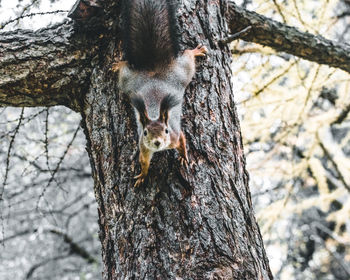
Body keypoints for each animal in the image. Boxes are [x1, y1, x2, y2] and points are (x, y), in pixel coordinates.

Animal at [113, 0, 208, 188]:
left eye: (166, 130)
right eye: (145, 133)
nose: (157, 142)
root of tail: (153, 69)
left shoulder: (175, 135)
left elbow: (183, 142)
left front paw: (184, 157)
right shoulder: (143, 147)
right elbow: (144, 162)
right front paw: (142, 175)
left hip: (182, 72)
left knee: (188, 57)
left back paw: (195, 51)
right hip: (127, 81)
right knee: (124, 69)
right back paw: (117, 64)